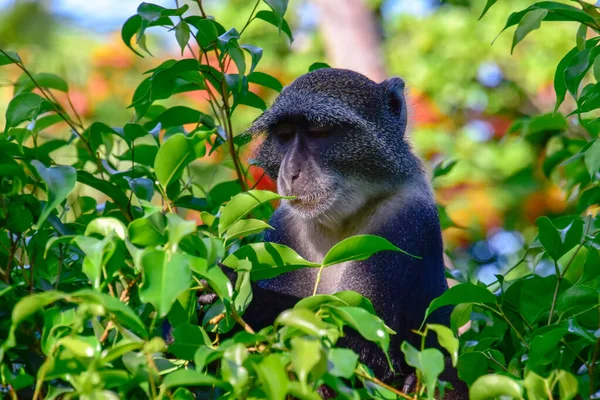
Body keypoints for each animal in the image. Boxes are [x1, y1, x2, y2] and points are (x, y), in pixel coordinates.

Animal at [241, 67, 466, 396]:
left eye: (319, 132)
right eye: (284, 136)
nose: (291, 172)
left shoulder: (403, 220)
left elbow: (370, 352)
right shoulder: (283, 230)